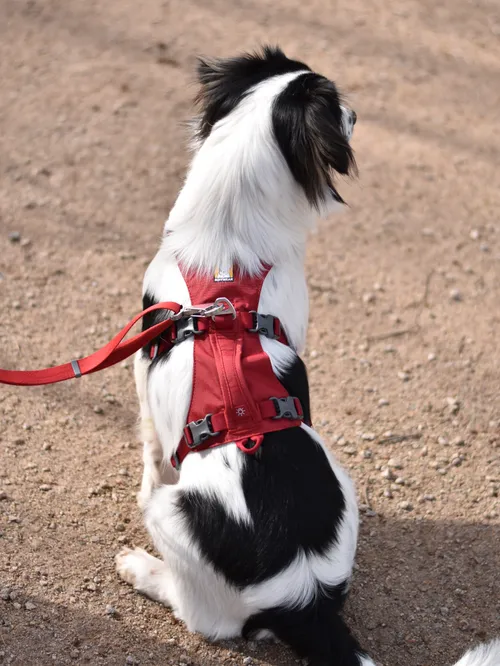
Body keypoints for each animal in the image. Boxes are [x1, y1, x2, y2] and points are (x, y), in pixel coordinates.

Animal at [115, 46, 500, 664]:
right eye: (341, 108)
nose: (358, 114)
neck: (228, 251)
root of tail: (306, 600)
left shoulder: (142, 365)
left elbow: (151, 447)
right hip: (343, 481)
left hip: (177, 521)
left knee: (204, 617)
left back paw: (142, 569)